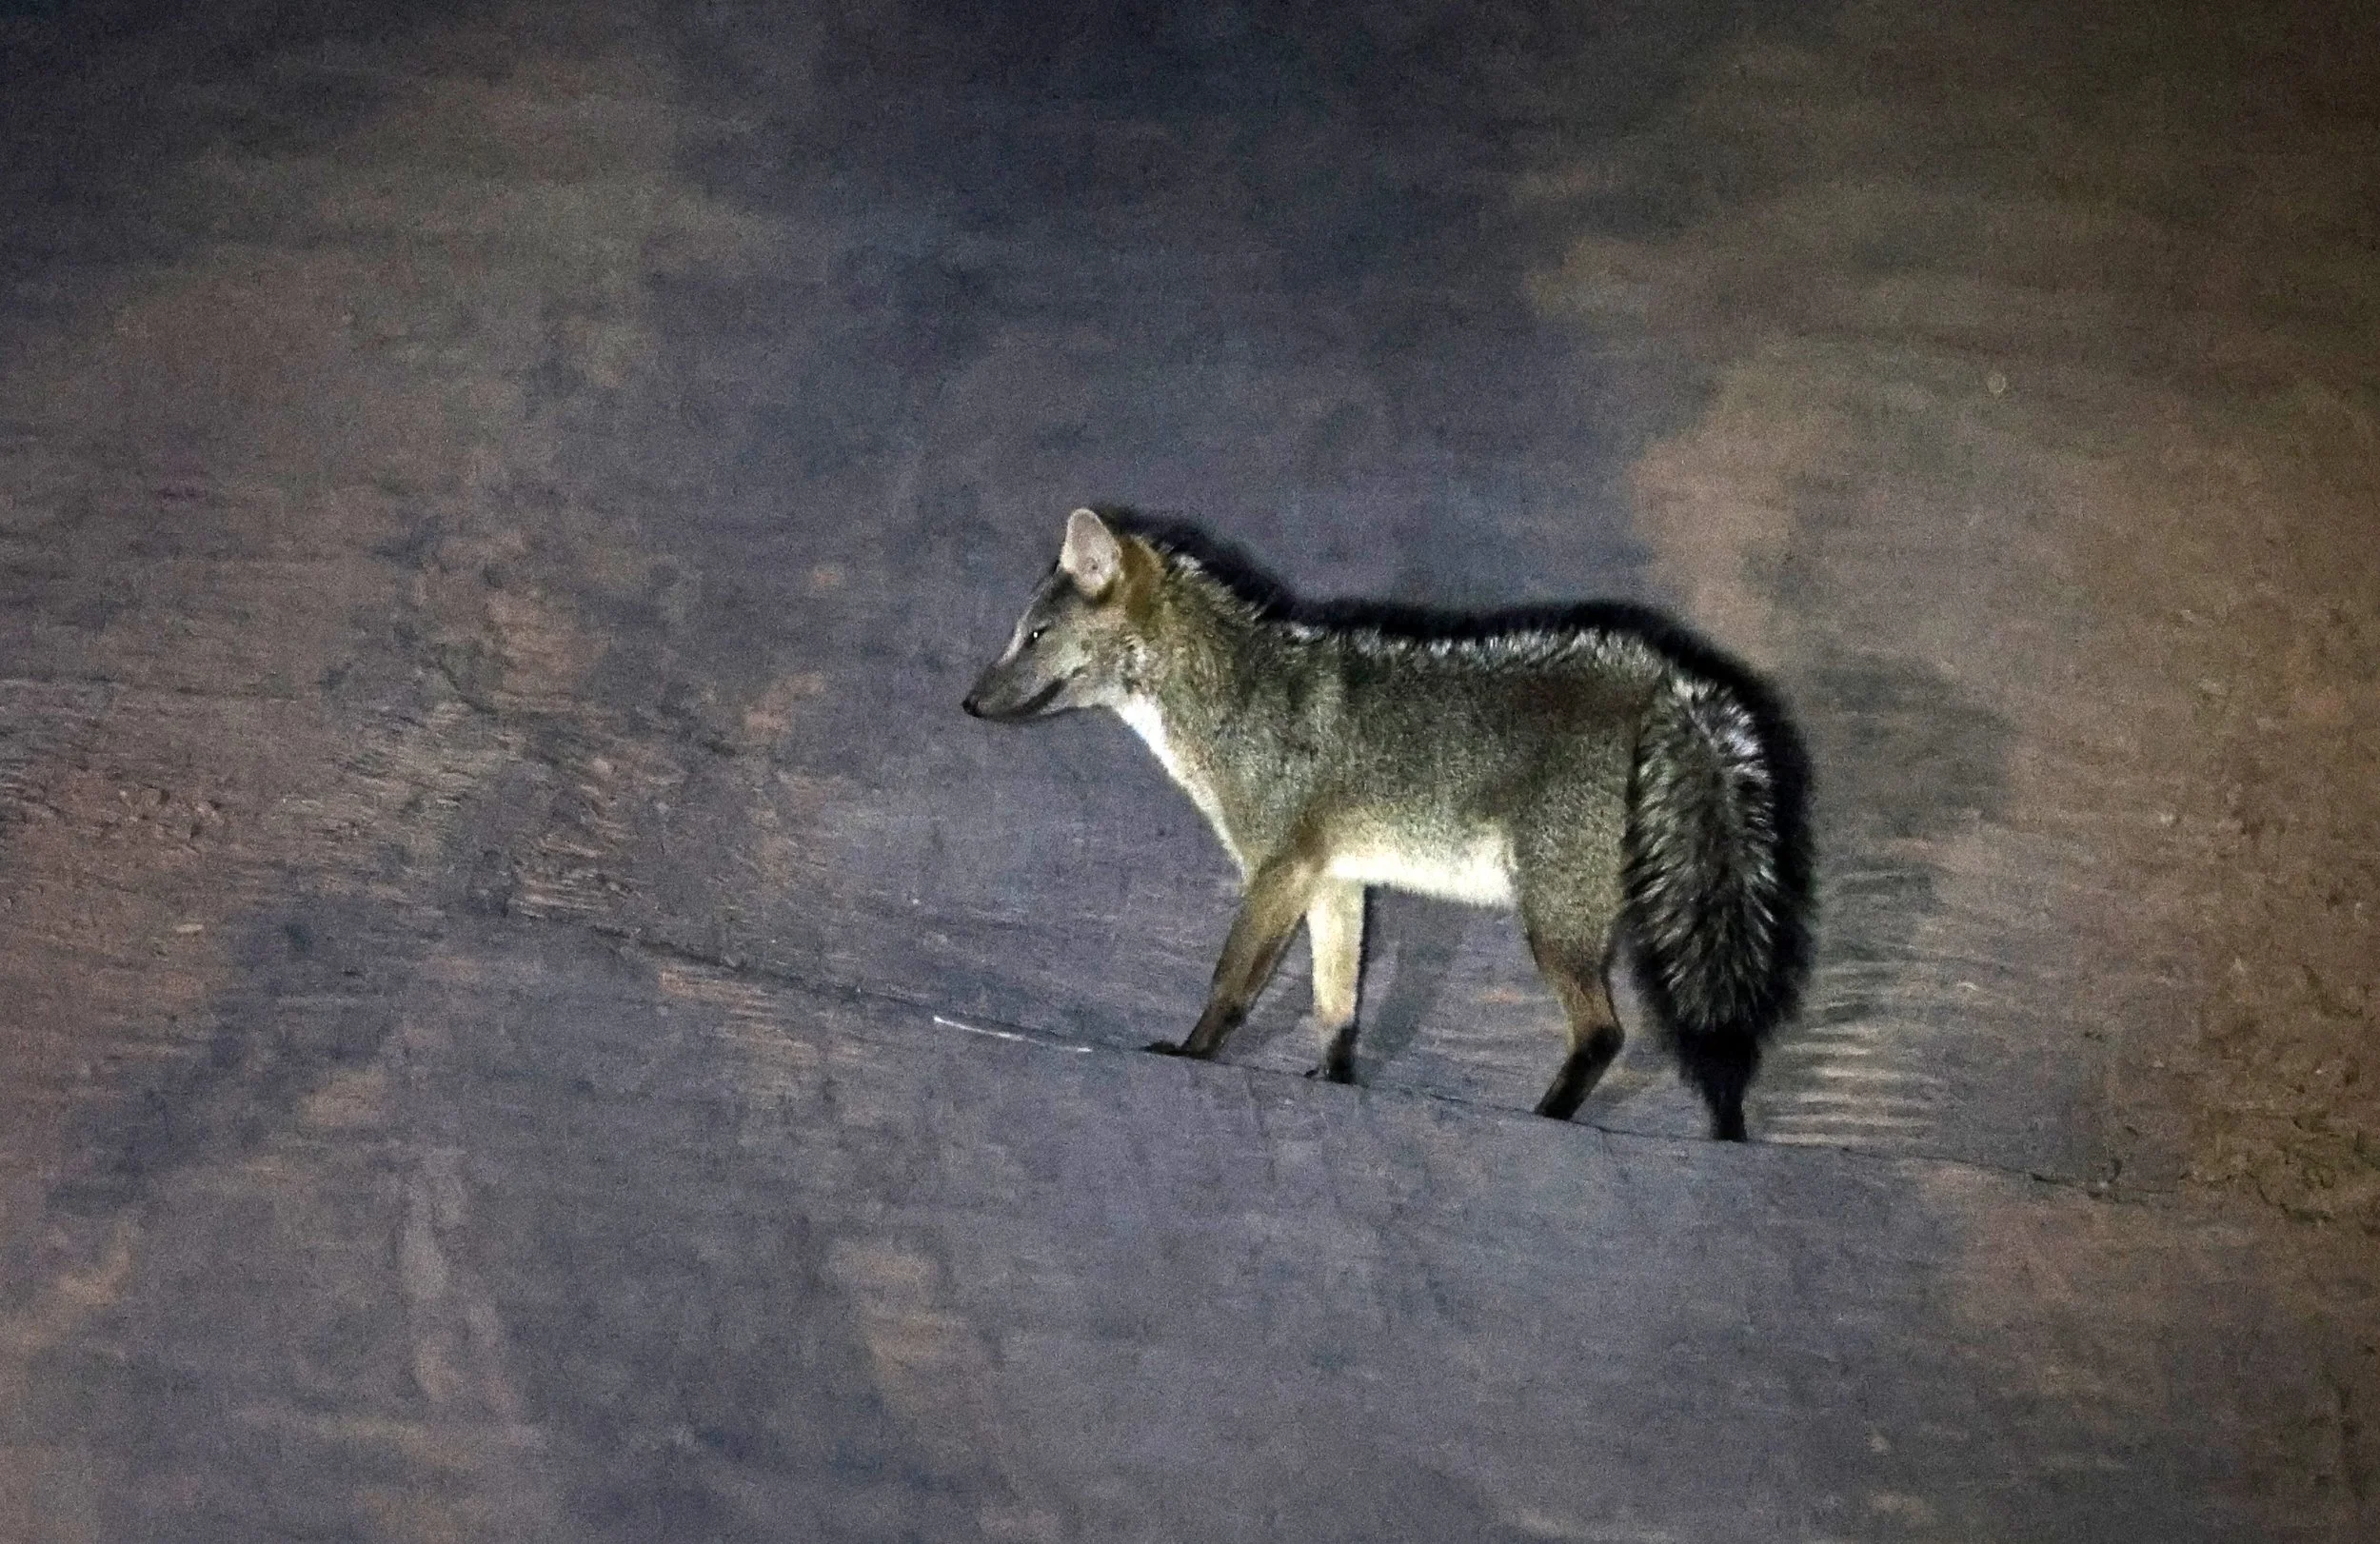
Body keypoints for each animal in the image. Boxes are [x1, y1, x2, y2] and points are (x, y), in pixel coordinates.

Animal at [962, 508, 1812, 1140]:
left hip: (1552, 923)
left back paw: (1545, 1118)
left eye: (1033, 636)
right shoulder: (1336, 881)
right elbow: (1336, 1007)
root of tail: (1662, 677)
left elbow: (1231, 984)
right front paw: (1334, 1084)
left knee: (1603, 1033)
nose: (968, 704)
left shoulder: (1277, 873)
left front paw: (1190, 1054)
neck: (1233, 704)